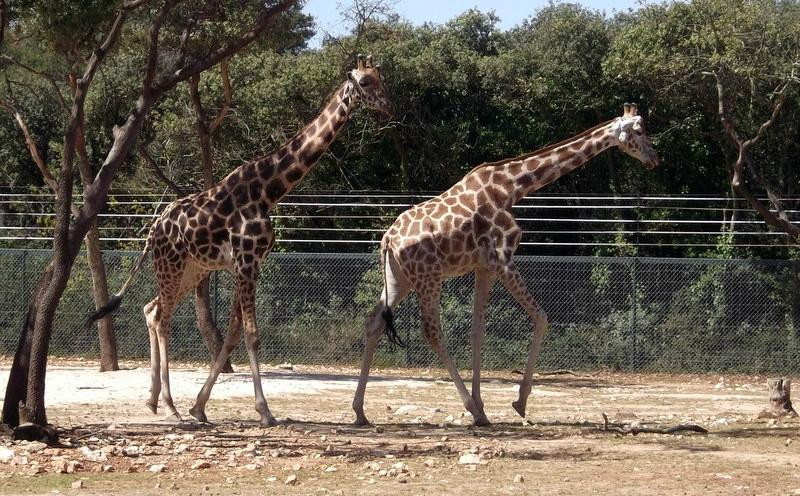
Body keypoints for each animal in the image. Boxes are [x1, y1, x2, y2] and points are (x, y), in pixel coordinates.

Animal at [90, 55, 390, 426]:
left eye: (381, 79)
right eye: (364, 82)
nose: (388, 106)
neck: (268, 191)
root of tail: (153, 229)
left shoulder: (248, 264)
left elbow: (232, 332)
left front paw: (200, 406)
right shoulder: (246, 262)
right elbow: (251, 333)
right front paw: (265, 411)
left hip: (193, 269)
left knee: (151, 309)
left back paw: (154, 400)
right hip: (170, 265)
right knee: (162, 318)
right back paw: (171, 405)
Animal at [354, 104, 660, 426]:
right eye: (639, 130)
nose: (654, 159)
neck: (511, 187)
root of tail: (388, 240)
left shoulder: (484, 267)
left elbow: (478, 330)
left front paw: (484, 403)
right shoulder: (503, 259)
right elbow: (541, 317)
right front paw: (517, 402)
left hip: (399, 279)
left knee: (373, 322)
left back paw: (360, 411)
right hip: (429, 277)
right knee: (432, 331)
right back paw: (470, 409)